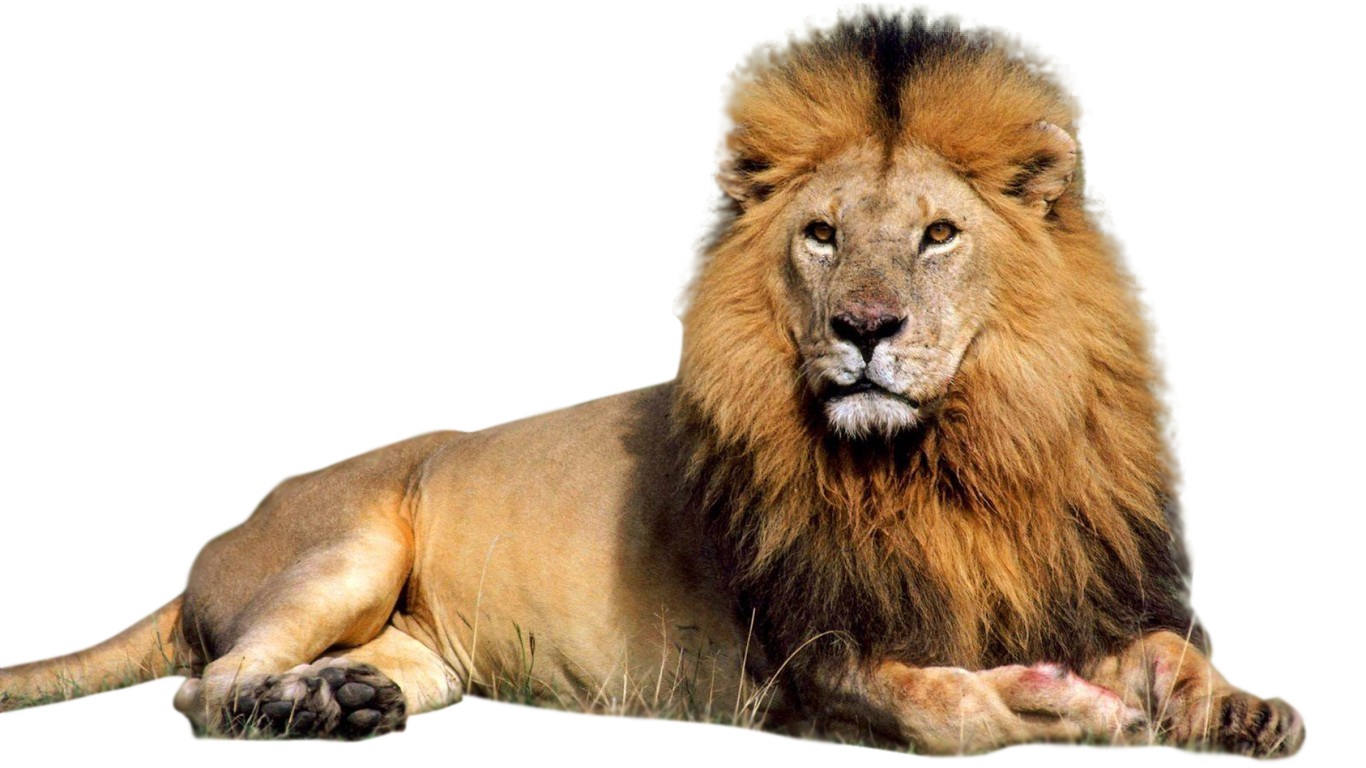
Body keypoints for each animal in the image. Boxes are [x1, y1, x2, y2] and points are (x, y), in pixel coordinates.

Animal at [0, 6, 1306, 762]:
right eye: (822, 235)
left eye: (938, 235)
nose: (864, 328)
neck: (954, 461)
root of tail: (209, 550)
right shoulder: (805, 669)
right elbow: (955, 713)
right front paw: (1068, 711)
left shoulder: (1074, 581)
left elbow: (1182, 660)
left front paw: (1245, 711)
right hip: (347, 547)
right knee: (204, 686)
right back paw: (294, 712)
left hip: (426, 646)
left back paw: (344, 702)